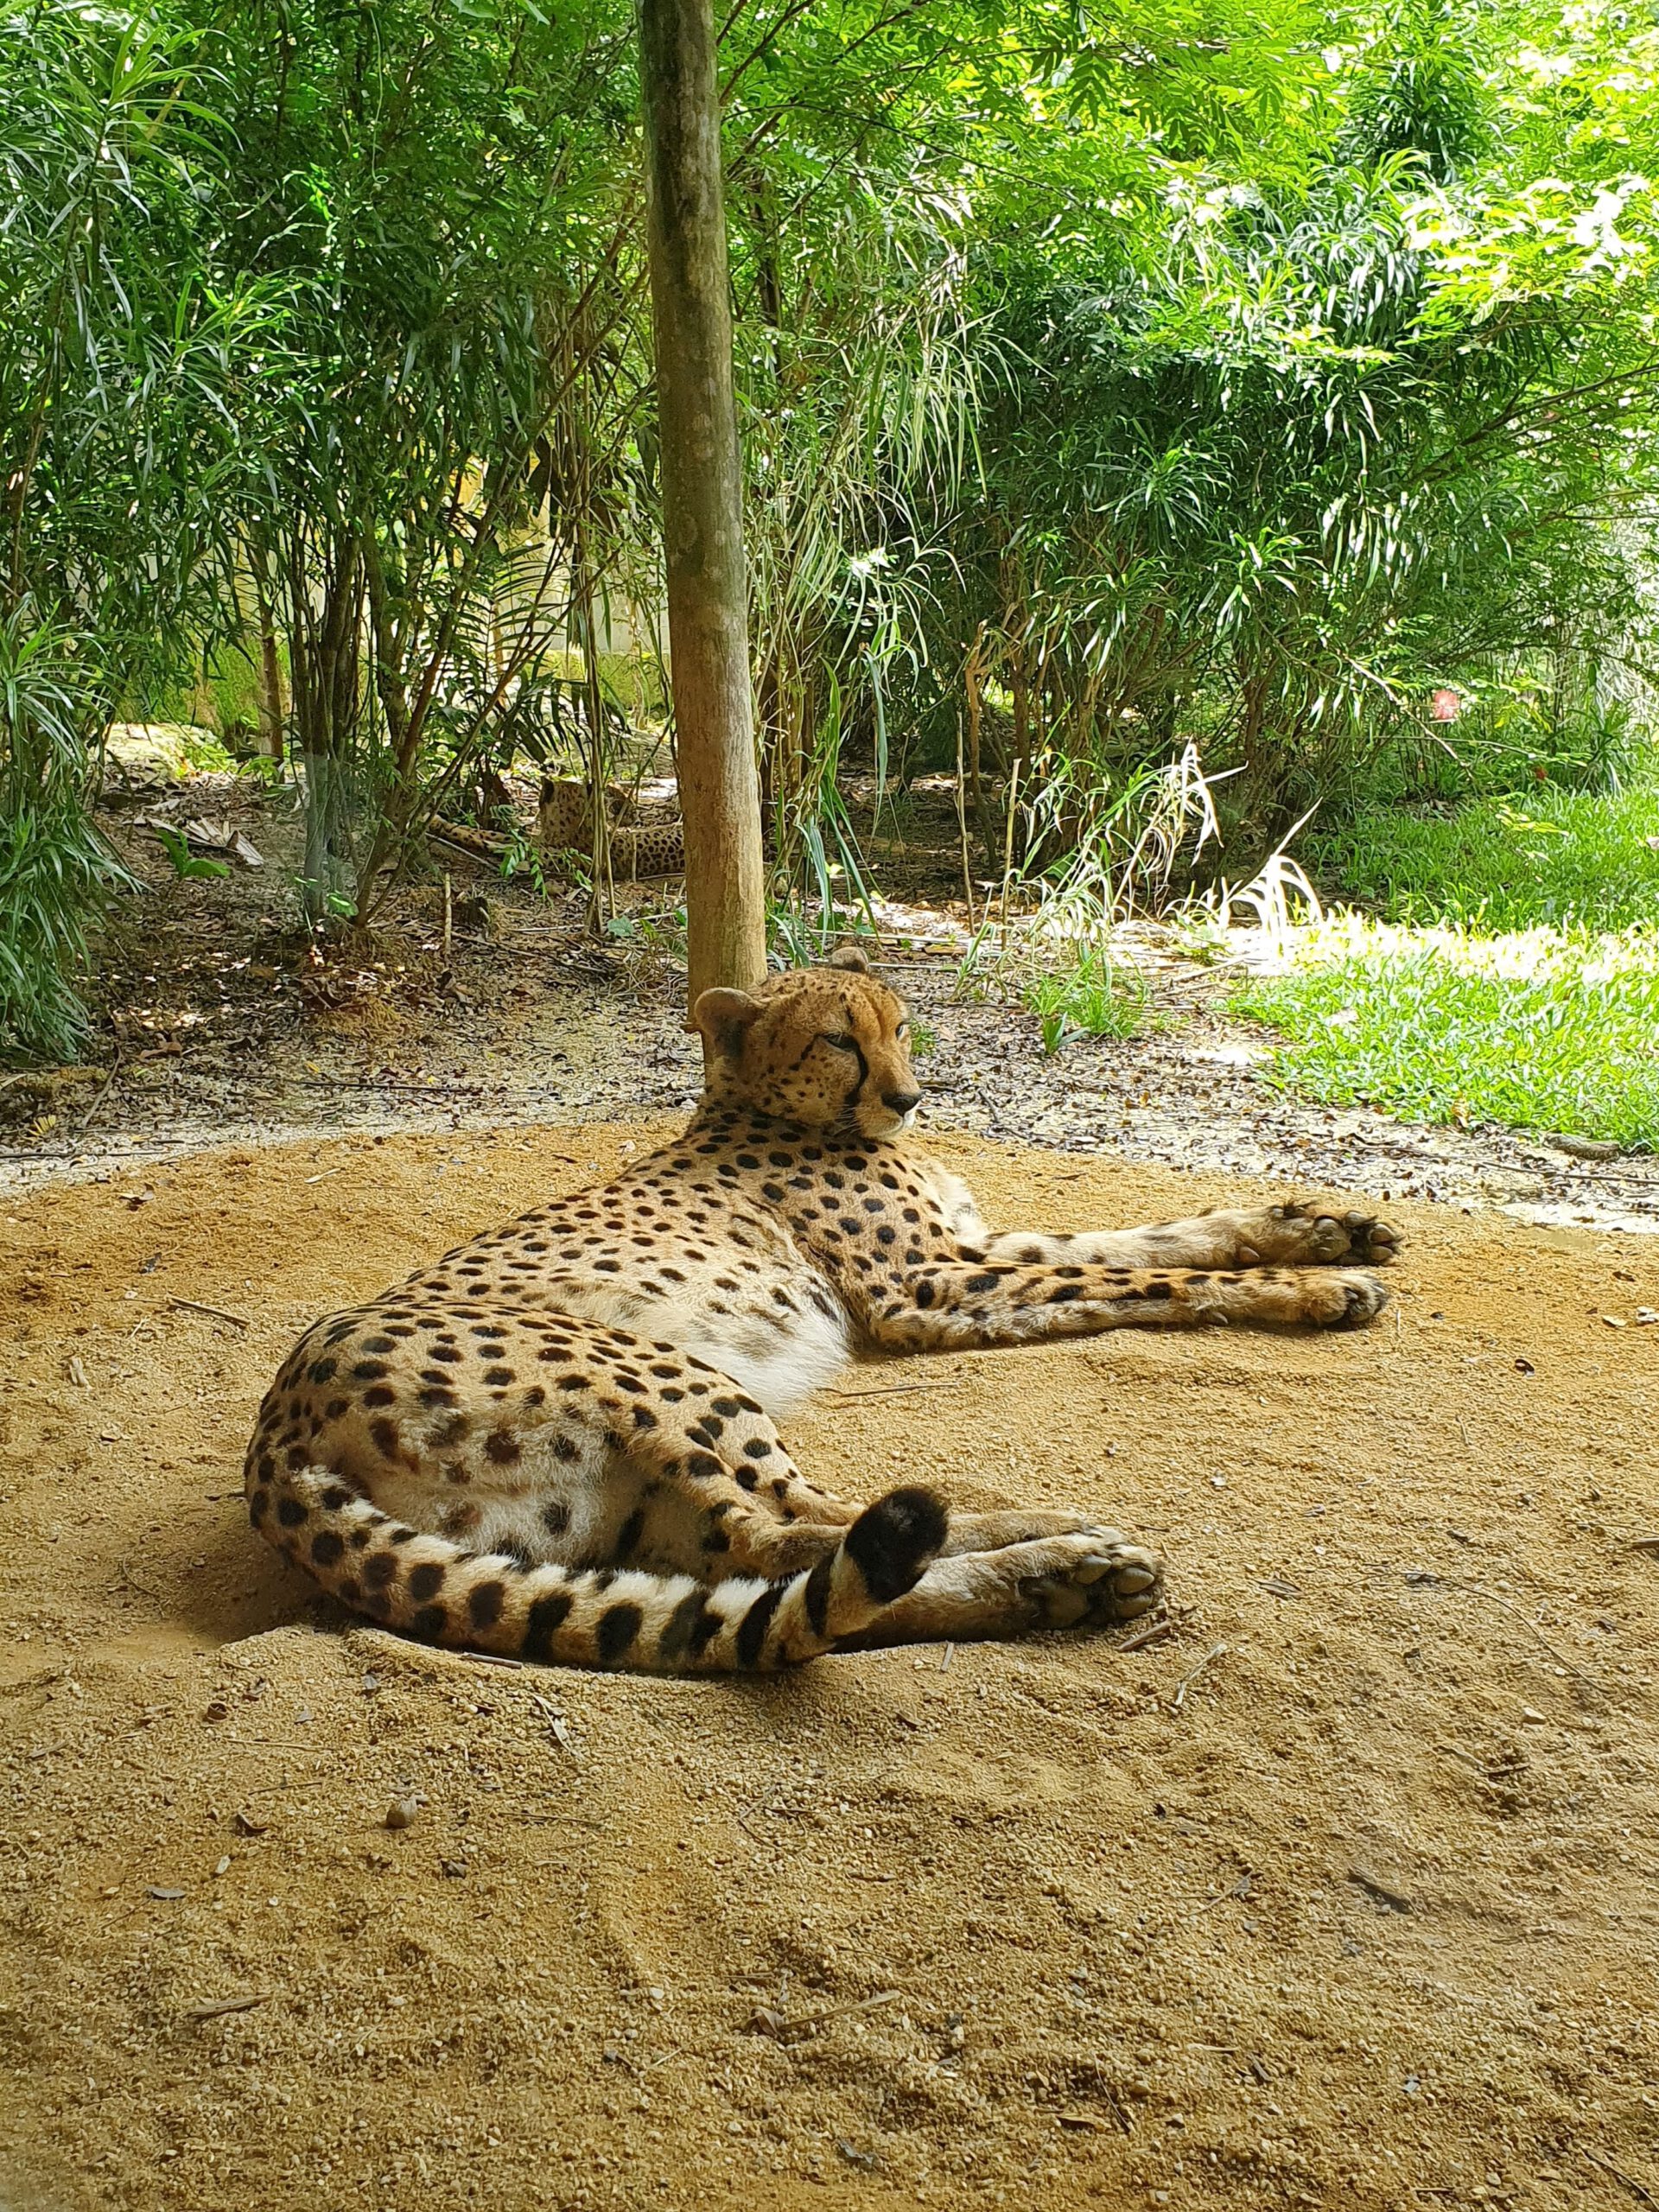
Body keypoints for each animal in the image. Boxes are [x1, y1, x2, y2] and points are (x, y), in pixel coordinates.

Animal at [250, 950, 1407, 1672]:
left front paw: (1325, 1229)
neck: (761, 1107)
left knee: (776, 1543)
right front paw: (1310, 1289)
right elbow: (1149, 1281)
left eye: (901, 1028)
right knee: (788, 1541)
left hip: (591, 1504)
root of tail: (276, 1442)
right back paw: (1057, 1560)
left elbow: (1156, 1236)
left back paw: (1056, 1560)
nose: (909, 1096)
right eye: (838, 1042)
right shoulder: (931, 1288)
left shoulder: (974, 1252)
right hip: (664, 1373)